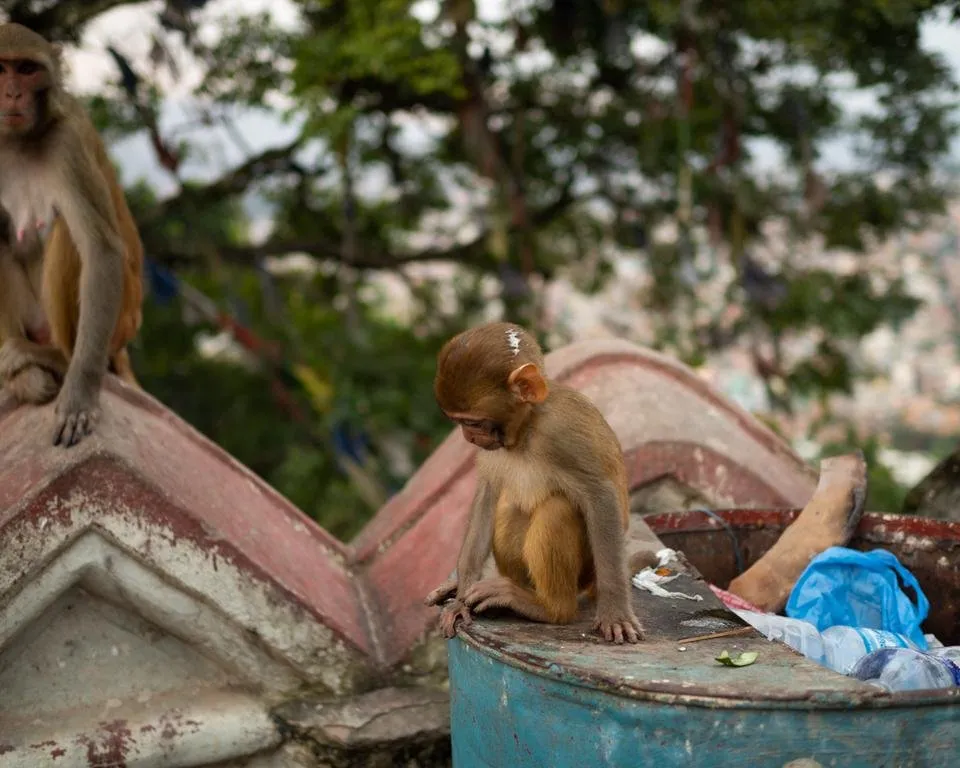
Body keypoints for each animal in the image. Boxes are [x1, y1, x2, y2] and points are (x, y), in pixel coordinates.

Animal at [0, 21, 144, 448]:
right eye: (0, 69)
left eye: (27, 69)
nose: (12, 93)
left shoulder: (68, 143)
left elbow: (101, 249)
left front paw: (79, 396)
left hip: (119, 319)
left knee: (70, 231)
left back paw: (58, 359)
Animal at [428, 320, 644, 644]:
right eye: (460, 422)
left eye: (473, 422)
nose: (469, 438)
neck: (527, 428)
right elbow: (487, 498)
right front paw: (459, 598)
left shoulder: (561, 433)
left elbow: (600, 496)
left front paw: (615, 612)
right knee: (509, 508)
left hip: (586, 572)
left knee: (557, 508)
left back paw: (550, 609)